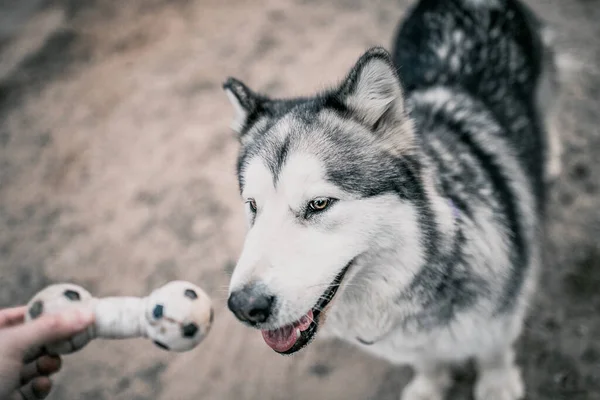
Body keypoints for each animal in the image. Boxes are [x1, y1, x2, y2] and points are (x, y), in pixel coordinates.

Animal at [223, 0, 560, 398]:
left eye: (319, 204)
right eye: (253, 206)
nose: (244, 307)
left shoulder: (501, 316)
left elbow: (493, 351)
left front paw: (497, 384)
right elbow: (427, 362)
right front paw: (429, 386)